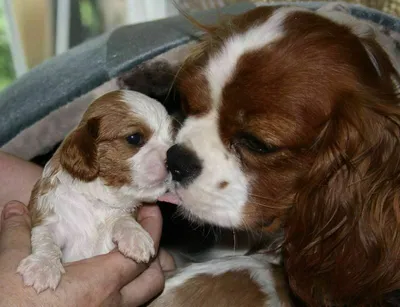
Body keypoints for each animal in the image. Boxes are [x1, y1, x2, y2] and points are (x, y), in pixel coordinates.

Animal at [17, 89, 173, 294]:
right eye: (134, 138)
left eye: (172, 141)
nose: (174, 159)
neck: (98, 197)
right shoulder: (49, 217)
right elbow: (46, 239)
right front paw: (42, 267)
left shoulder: (119, 214)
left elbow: (123, 220)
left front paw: (136, 237)